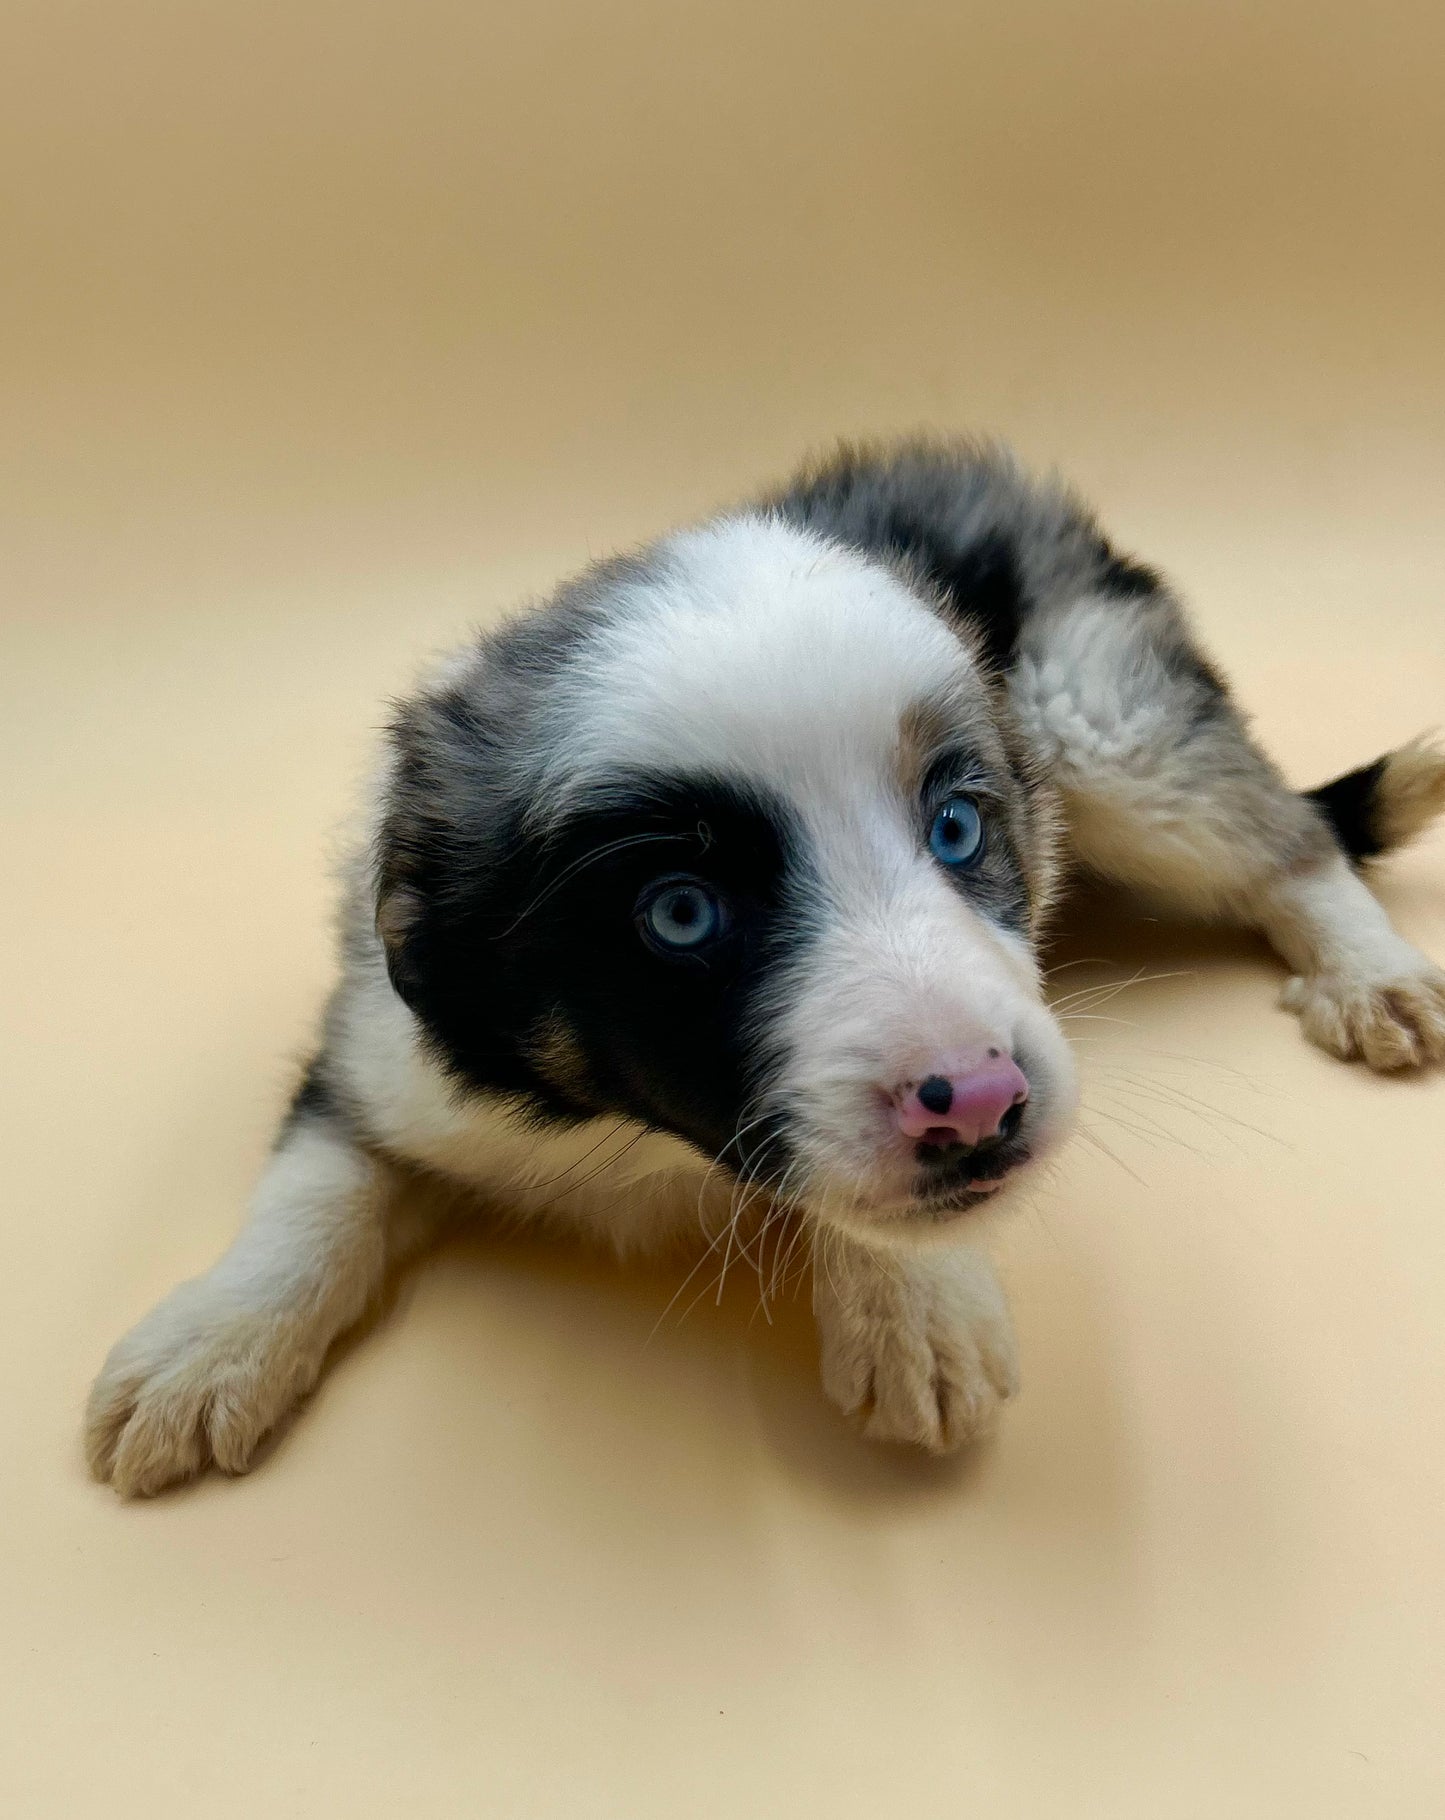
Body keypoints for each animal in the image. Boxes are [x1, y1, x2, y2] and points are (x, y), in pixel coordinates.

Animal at [87, 436, 1441, 1492]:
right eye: (680, 914)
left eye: (957, 828)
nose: (981, 1101)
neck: (640, 1140)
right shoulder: (389, 1046)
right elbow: (314, 1185)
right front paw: (210, 1340)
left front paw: (914, 1302)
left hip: (1098, 715)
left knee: (1285, 832)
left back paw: (1365, 970)